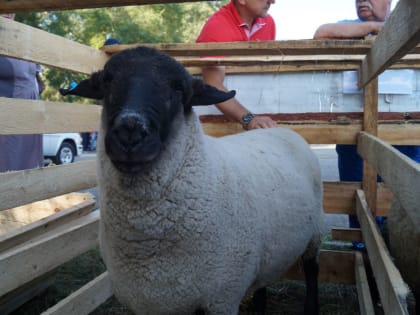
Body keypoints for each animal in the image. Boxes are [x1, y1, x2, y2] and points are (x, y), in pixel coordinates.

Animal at [62, 45, 324, 314]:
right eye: (107, 81)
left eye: (179, 88)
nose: (129, 133)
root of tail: (277, 128)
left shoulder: (222, 299)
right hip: (268, 254)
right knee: (262, 284)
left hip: (315, 231)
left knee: (311, 267)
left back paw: (311, 307)